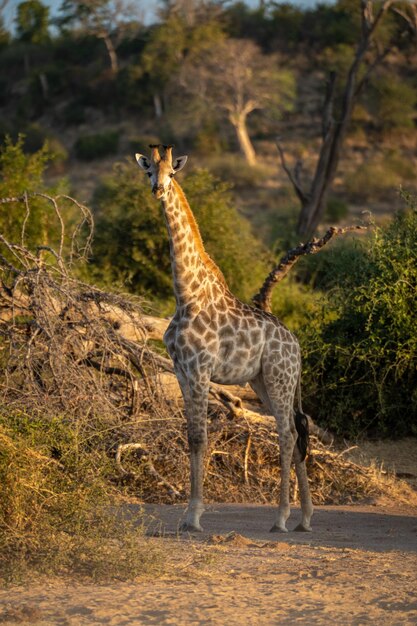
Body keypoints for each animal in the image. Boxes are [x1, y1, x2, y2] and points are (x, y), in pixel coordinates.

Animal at [136, 144, 312, 528]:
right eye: (149, 171)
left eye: (172, 172)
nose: (158, 190)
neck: (186, 296)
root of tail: (297, 347)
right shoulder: (182, 371)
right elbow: (190, 437)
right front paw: (189, 513)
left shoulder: (201, 370)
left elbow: (201, 438)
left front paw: (193, 516)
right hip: (262, 381)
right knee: (295, 431)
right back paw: (305, 519)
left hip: (279, 377)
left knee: (287, 433)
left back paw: (281, 518)